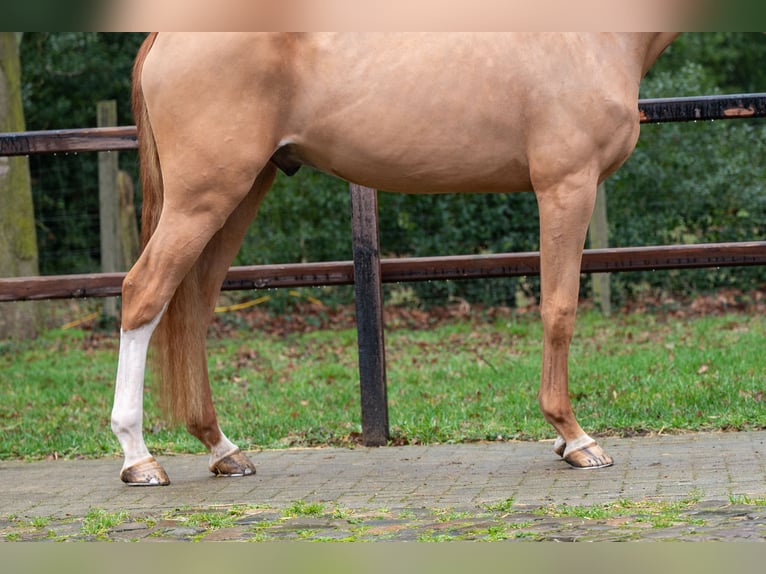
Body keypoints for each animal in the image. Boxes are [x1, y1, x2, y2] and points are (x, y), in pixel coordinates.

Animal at [112, 32, 679, 485]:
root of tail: (167, 35)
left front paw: (562, 441)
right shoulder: (566, 187)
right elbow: (559, 311)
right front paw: (575, 439)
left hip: (242, 191)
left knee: (193, 309)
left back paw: (222, 449)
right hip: (204, 197)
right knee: (144, 293)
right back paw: (139, 459)